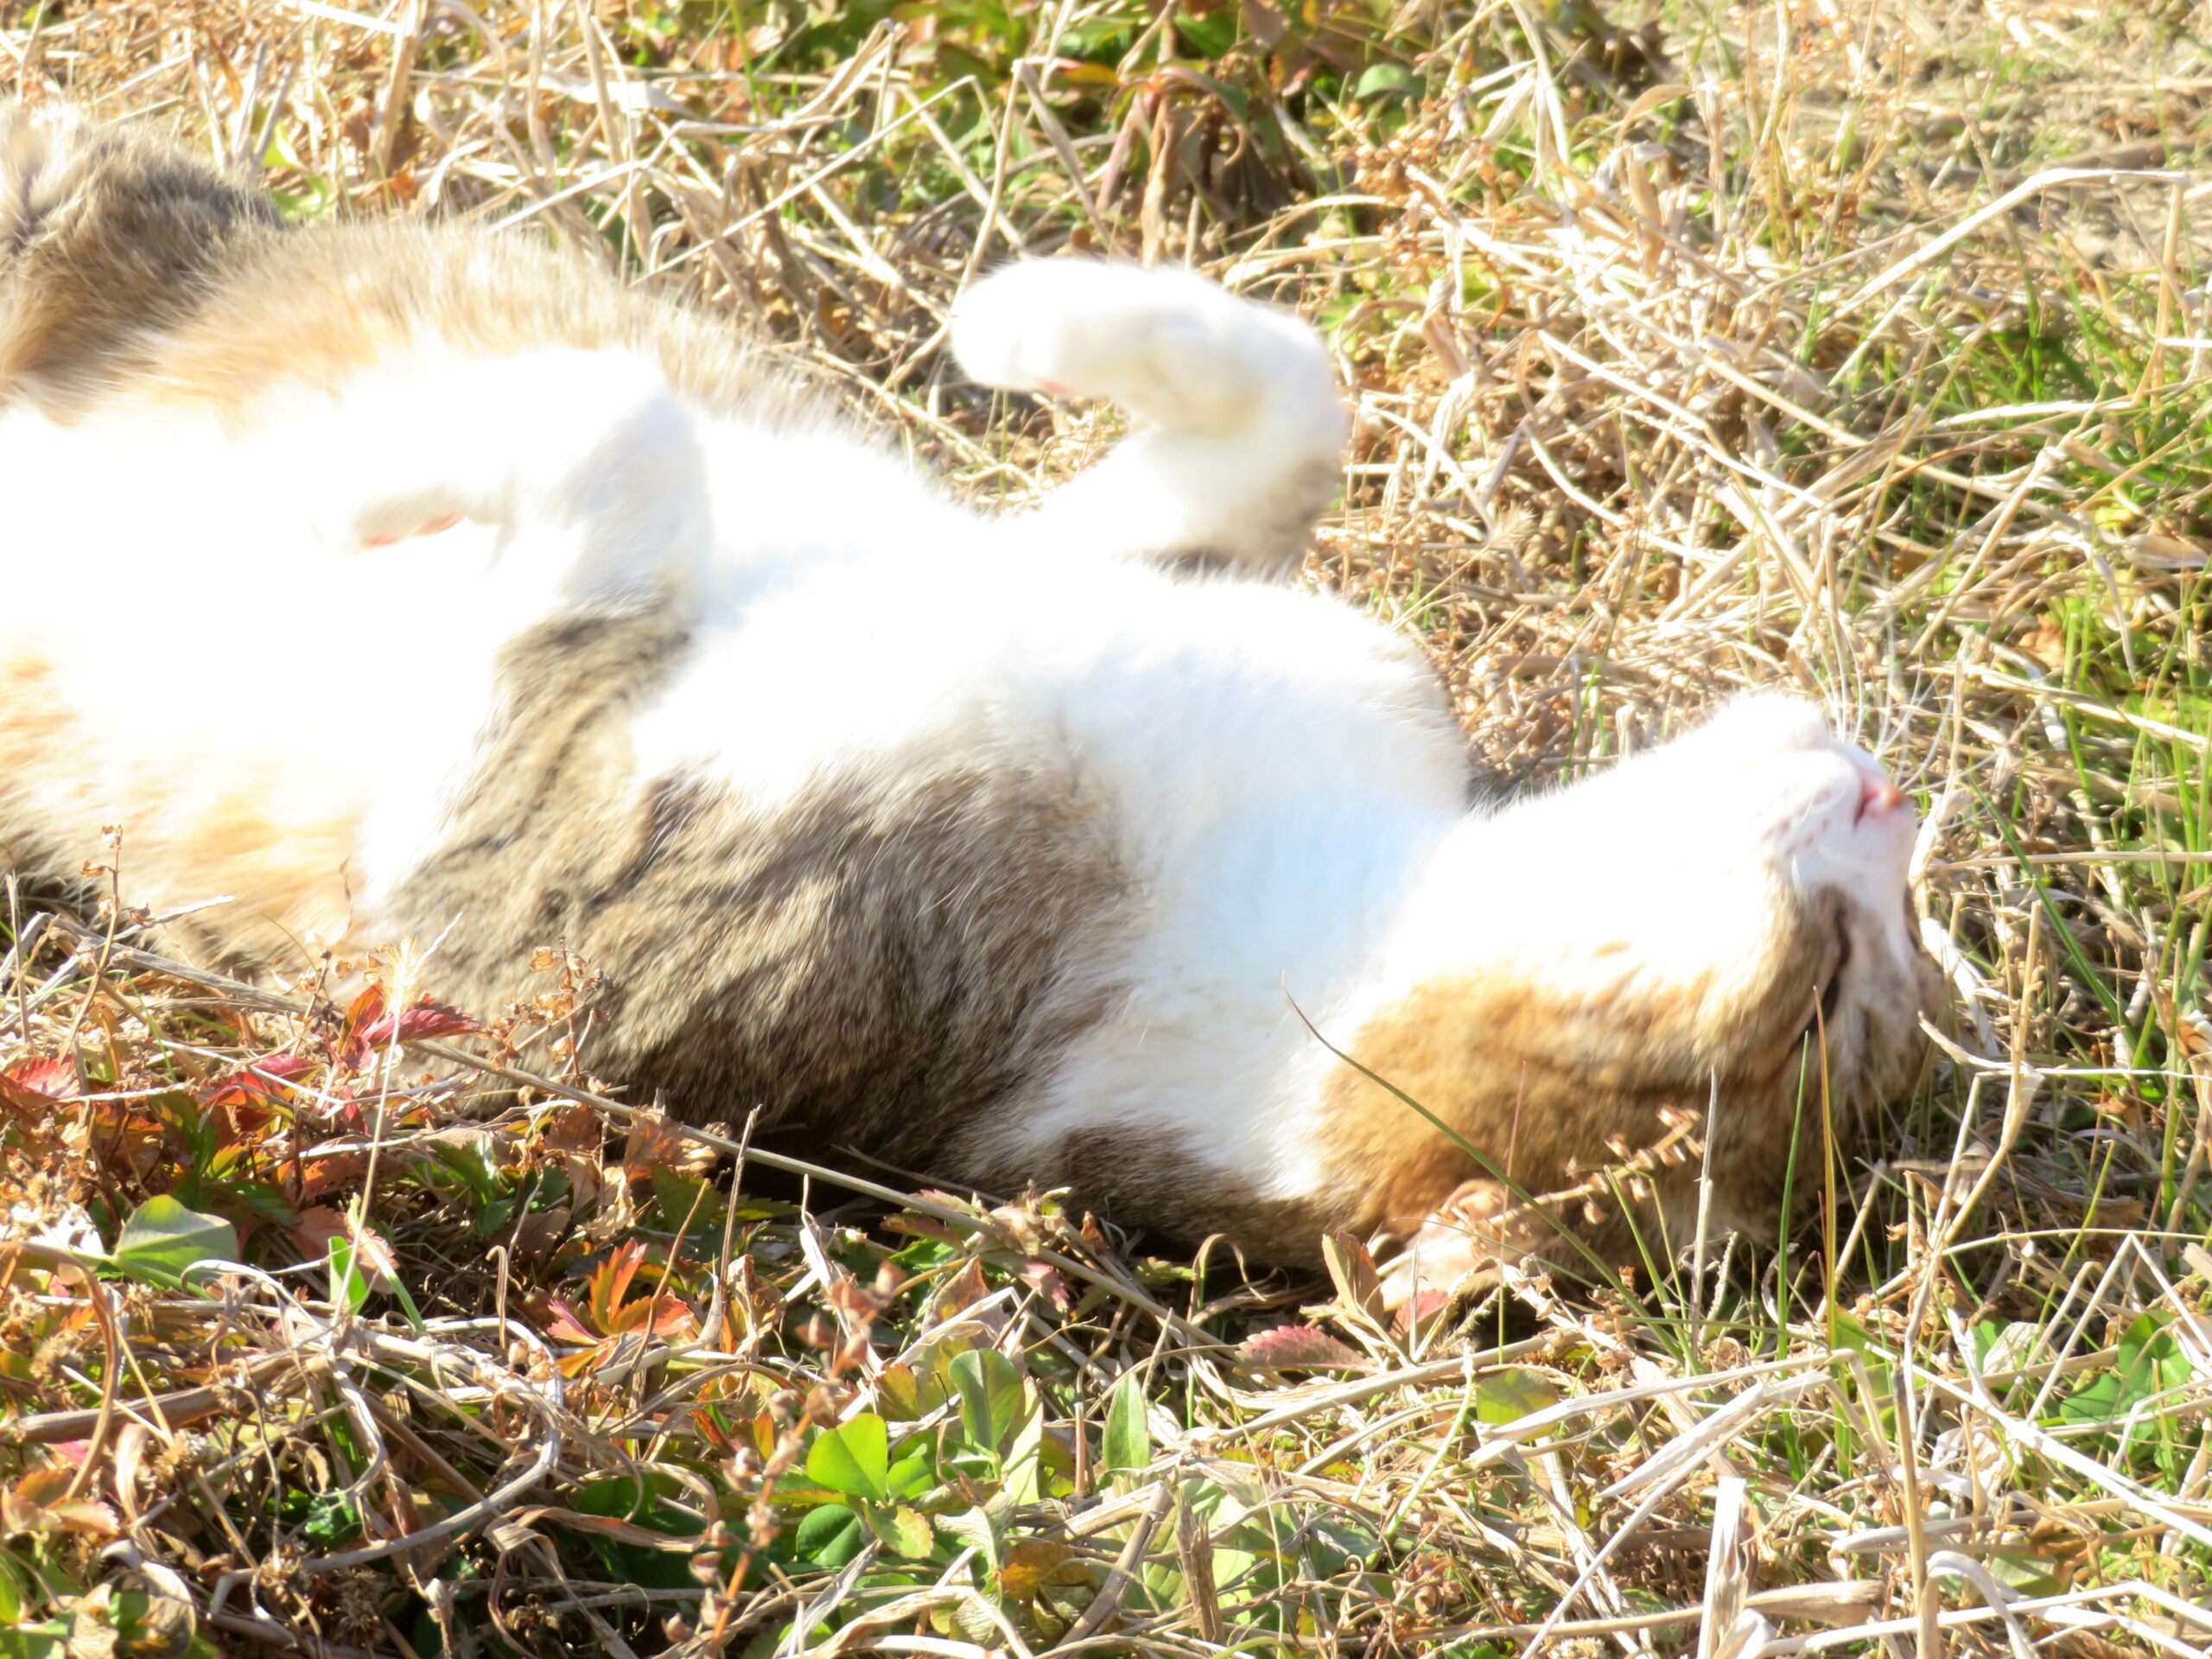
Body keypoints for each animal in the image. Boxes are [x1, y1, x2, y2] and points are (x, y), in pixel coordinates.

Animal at [0, 107, 1937, 1300]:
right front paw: (1034, 321)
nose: (1885, 797)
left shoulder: (521, 915)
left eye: (1838, 993)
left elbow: (621, 431)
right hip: (83, 196)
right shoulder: (1148, 582)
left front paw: (362, 497)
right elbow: (1290, 405)